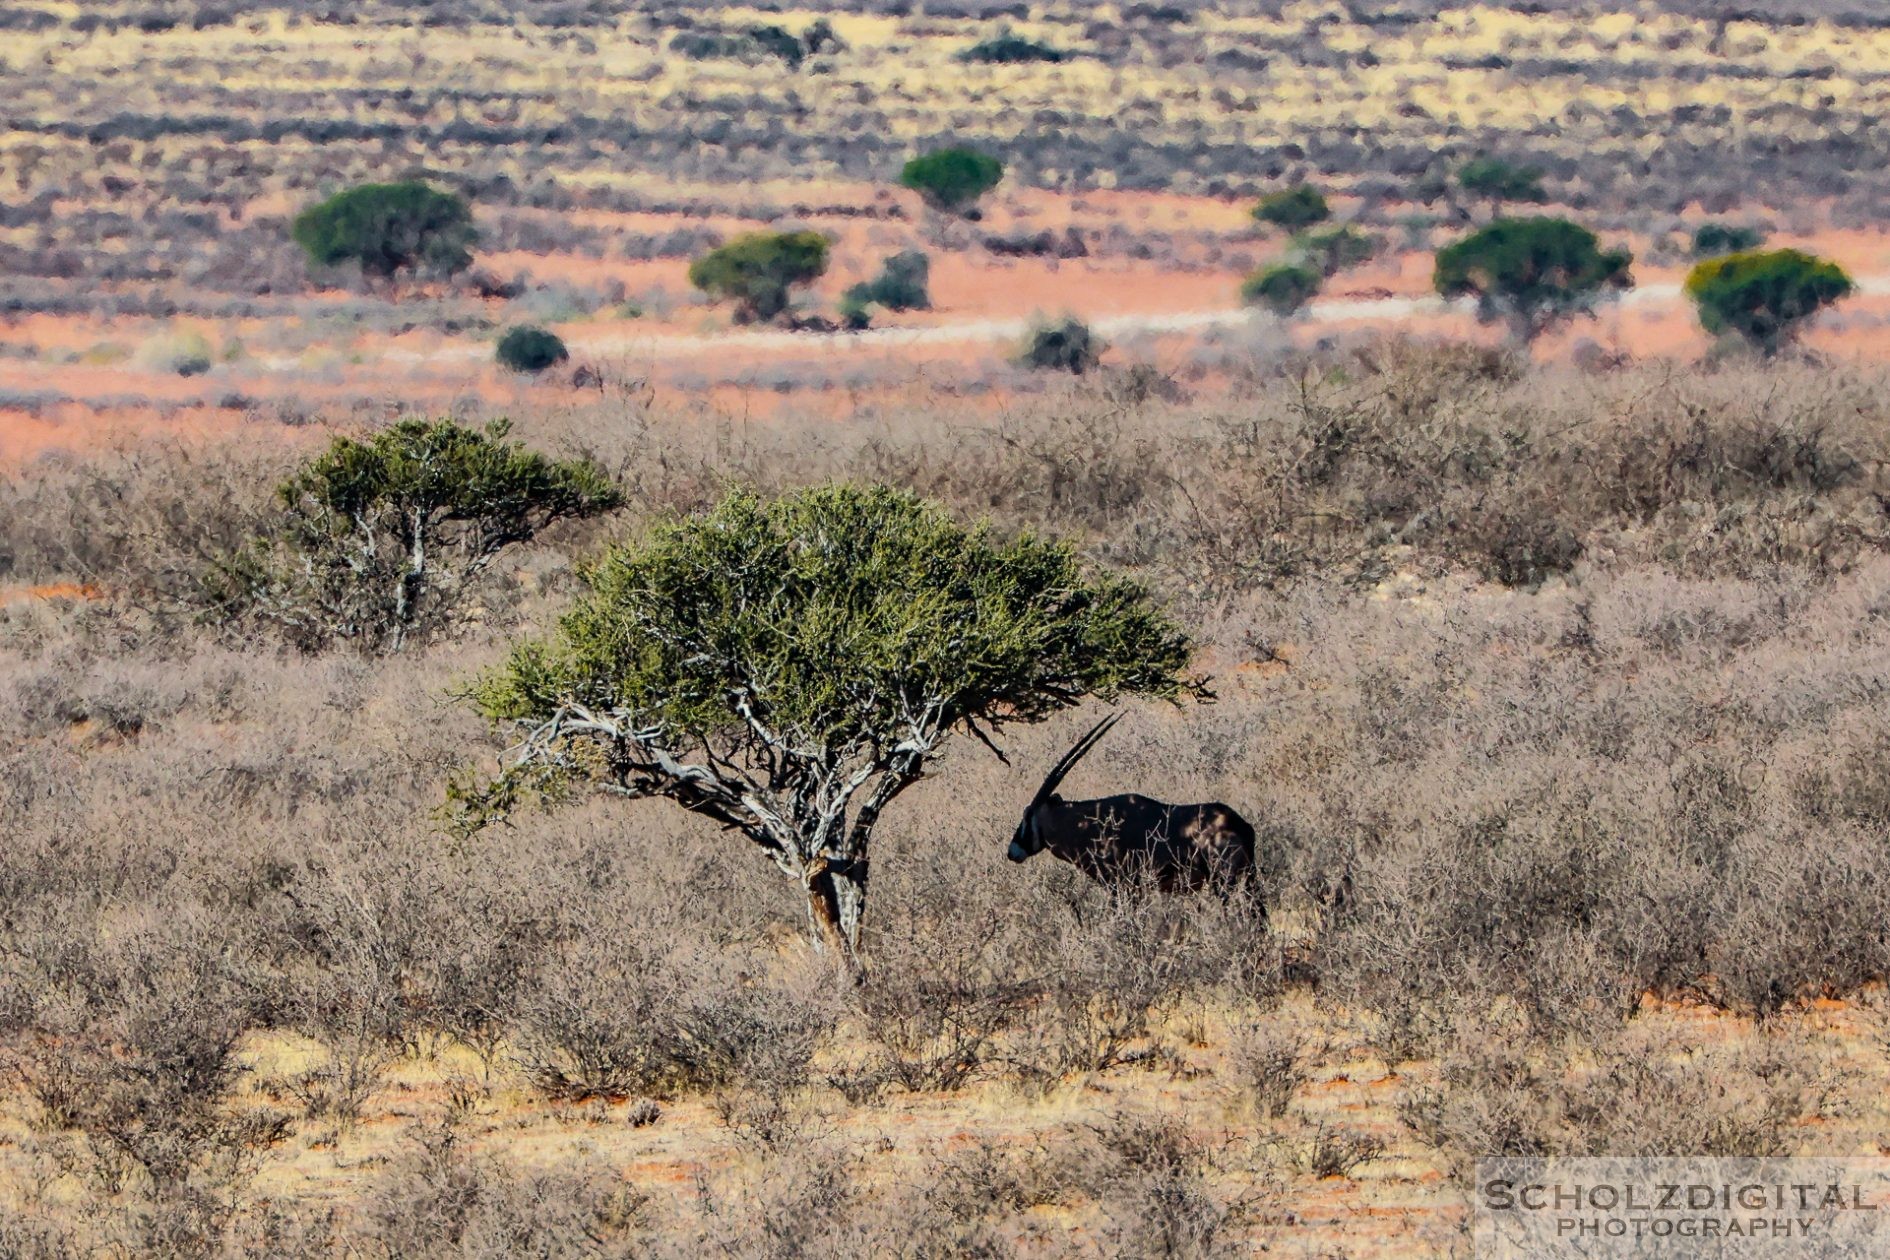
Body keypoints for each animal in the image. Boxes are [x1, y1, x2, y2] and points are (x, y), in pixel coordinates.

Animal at [1013, 714, 1262, 902]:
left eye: (1027, 815)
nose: (1011, 851)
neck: (1087, 824)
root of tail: (1239, 824)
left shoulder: (1123, 886)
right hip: (1248, 879)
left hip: (1224, 881)